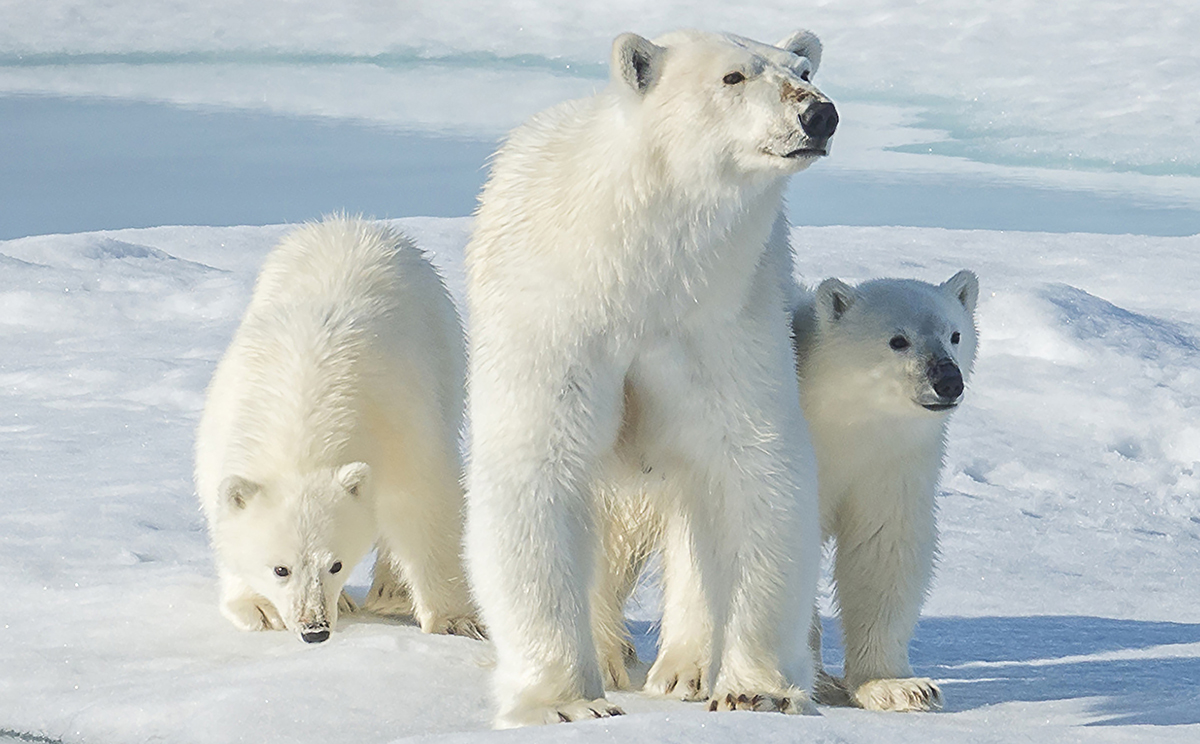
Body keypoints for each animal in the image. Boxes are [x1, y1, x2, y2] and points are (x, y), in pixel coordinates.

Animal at [195, 216, 477, 643]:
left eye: (336, 564)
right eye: (281, 569)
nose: (315, 630)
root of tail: (350, 224)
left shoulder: (398, 422)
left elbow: (426, 502)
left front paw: (455, 621)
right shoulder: (227, 422)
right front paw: (258, 607)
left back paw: (390, 590)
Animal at [463, 27, 840, 724]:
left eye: (803, 70)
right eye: (733, 77)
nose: (818, 114)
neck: (642, 264)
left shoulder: (723, 320)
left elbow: (754, 467)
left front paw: (757, 689)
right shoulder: (557, 314)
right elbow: (540, 466)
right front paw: (566, 702)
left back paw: (682, 669)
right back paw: (612, 657)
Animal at [792, 270, 979, 710]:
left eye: (955, 334)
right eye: (898, 340)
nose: (947, 380)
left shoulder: (890, 464)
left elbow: (883, 551)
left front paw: (898, 687)